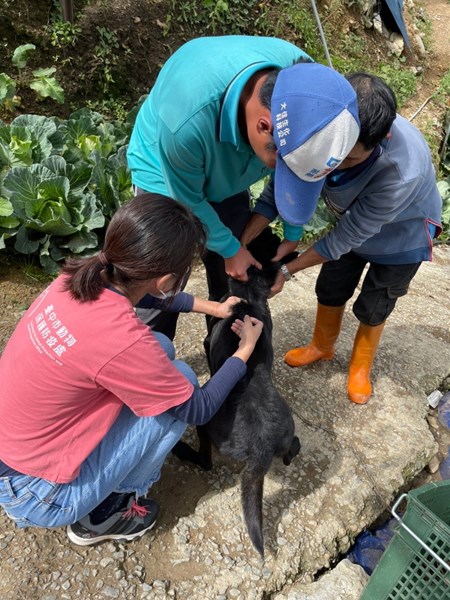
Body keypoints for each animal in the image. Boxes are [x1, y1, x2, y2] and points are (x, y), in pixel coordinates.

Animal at [174, 229, 300, 556]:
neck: (247, 297)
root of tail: (261, 448)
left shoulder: (208, 342)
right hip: (287, 432)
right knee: (293, 447)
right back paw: (289, 458)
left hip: (206, 427)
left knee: (206, 460)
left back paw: (185, 452)